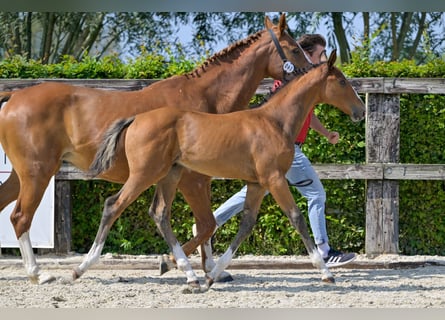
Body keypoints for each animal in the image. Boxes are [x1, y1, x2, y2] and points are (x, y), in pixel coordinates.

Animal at [0, 13, 312, 284]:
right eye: (294, 49)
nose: (311, 73)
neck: (204, 98)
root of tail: (14, 96)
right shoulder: (192, 178)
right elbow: (206, 223)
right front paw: (173, 263)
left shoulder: (198, 177)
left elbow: (204, 224)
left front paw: (211, 268)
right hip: (38, 173)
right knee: (20, 217)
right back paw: (39, 274)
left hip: (22, 175)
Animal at [86, 52, 364, 292]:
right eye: (341, 81)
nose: (360, 111)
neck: (274, 122)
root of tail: (136, 118)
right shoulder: (274, 179)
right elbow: (296, 217)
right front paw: (326, 272)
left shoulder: (257, 184)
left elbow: (246, 225)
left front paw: (213, 275)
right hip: (144, 174)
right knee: (113, 205)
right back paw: (83, 267)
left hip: (169, 175)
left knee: (160, 213)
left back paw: (186, 273)